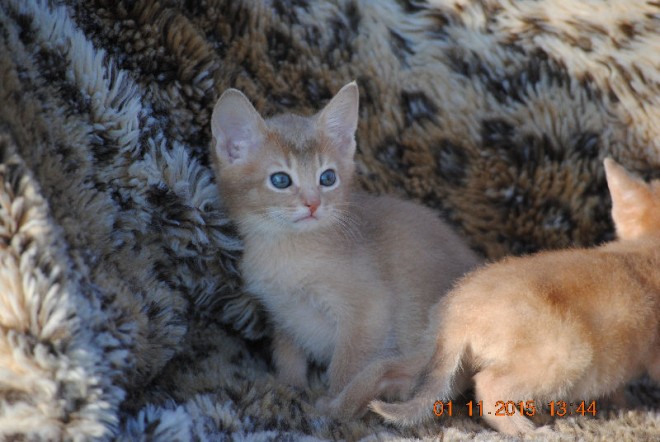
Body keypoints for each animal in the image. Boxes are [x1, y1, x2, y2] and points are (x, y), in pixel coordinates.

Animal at [210, 83, 480, 418]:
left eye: (327, 178)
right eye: (281, 180)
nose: (313, 204)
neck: (286, 250)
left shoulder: (368, 313)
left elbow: (345, 365)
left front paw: (331, 404)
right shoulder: (283, 312)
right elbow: (287, 354)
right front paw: (290, 387)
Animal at [368, 159, 660, 436]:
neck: (647, 246)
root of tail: (455, 318)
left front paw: (624, 404)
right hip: (567, 354)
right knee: (487, 384)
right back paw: (526, 430)